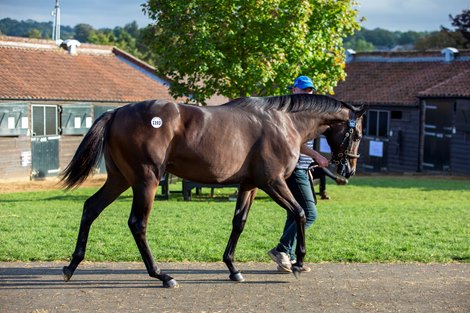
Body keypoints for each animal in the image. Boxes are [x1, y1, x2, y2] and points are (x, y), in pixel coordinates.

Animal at [60, 93, 366, 288]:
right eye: (358, 134)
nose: (348, 169)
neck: (284, 122)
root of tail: (116, 112)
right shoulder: (273, 182)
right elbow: (301, 213)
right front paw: (298, 263)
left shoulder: (249, 185)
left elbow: (239, 222)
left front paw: (232, 268)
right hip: (146, 181)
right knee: (137, 224)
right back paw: (161, 275)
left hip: (120, 179)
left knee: (90, 208)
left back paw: (71, 266)